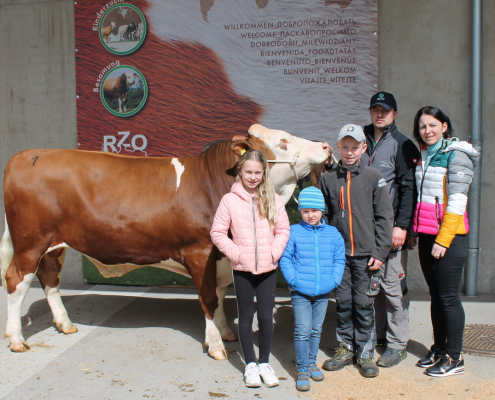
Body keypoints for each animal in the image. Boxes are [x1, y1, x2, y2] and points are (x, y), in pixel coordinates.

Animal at [1, 125, 332, 360]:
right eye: (283, 141)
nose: (326, 146)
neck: (214, 184)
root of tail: (26, 155)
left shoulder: (221, 256)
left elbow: (220, 292)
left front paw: (226, 331)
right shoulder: (200, 251)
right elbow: (209, 298)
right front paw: (215, 345)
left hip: (54, 245)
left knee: (49, 280)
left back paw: (65, 324)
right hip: (30, 241)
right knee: (15, 280)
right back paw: (16, 339)